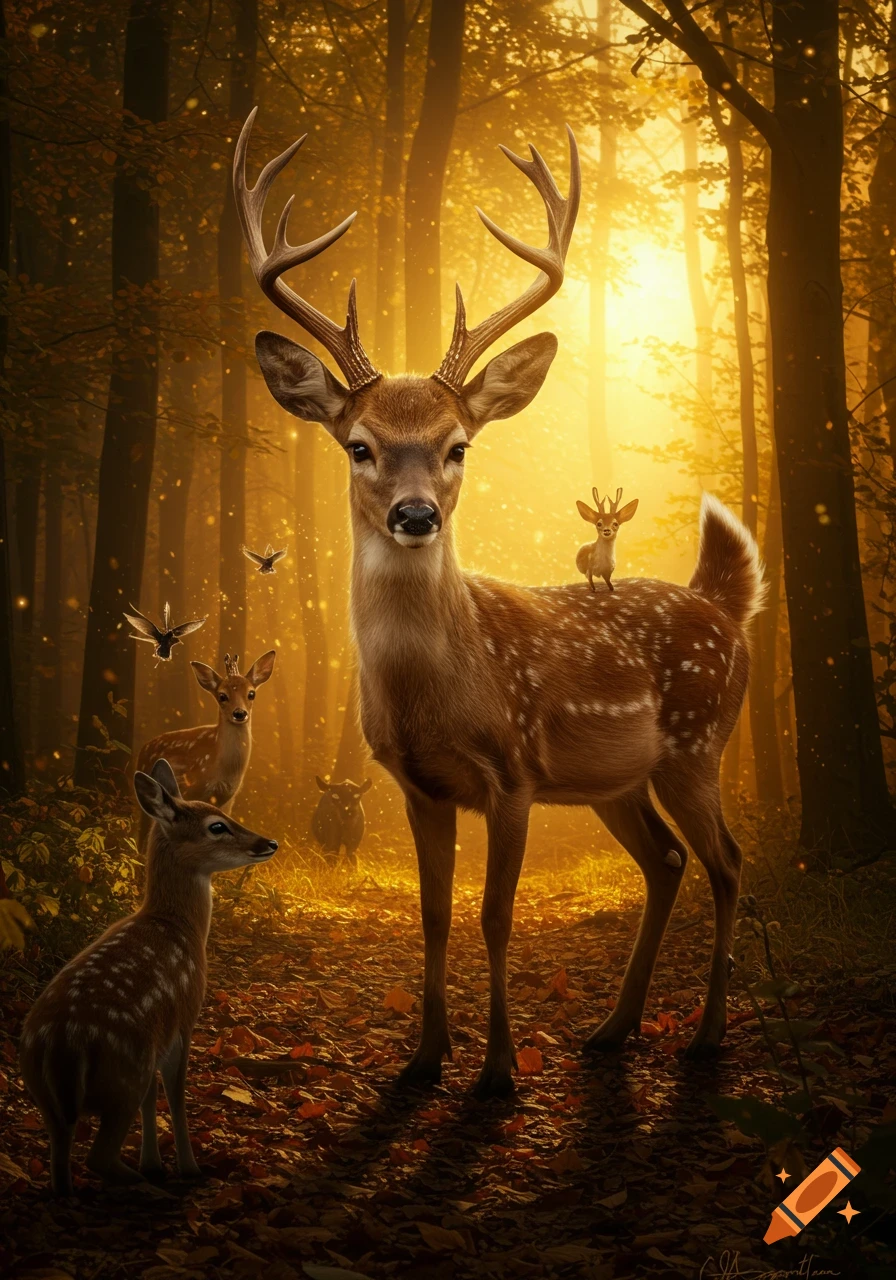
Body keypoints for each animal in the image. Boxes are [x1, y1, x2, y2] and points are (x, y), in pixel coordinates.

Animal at [19, 759, 278, 1194]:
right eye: (216, 826)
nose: (269, 842)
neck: (178, 926)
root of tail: (62, 1045)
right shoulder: (183, 1017)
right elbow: (175, 1091)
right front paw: (186, 1167)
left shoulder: (158, 1037)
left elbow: (153, 1097)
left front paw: (154, 1162)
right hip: (124, 1073)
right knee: (98, 1156)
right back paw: (148, 1187)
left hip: (44, 1094)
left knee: (62, 1160)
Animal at [133, 650, 276, 852]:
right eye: (222, 696)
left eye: (251, 694)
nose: (239, 713)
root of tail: (143, 749)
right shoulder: (190, 791)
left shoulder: (228, 800)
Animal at [235, 108, 764, 1099]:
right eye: (359, 445)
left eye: (458, 446)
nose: (414, 515)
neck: (441, 694)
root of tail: (724, 605)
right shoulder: (416, 785)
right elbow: (436, 916)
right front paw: (422, 1061)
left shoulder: (513, 775)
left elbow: (494, 916)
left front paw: (498, 1072)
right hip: (616, 780)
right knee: (668, 860)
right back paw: (612, 1030)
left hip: (696, 742)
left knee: (727, 861)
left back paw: (707, 1038)